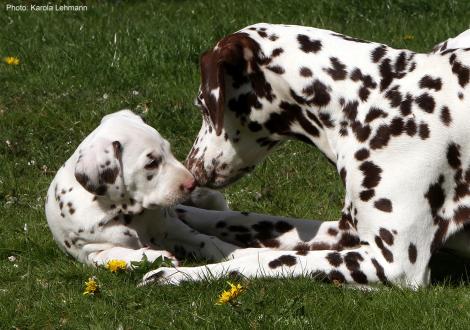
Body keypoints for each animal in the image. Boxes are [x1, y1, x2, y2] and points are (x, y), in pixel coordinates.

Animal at [141, 24, 470, 288]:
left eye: (202, 105)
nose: (193, 170)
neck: (373, 101)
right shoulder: (344, 231)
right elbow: (238, 220)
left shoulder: (392, 263)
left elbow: (263, 260)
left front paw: (178, 274)